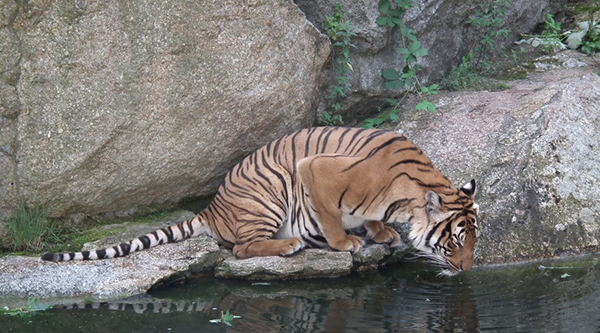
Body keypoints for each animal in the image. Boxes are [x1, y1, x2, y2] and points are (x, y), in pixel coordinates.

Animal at [42, 126, 478, 274]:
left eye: (475, 242)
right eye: (455, 242)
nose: (468, 270)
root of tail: (211, 207)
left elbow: (369, 217)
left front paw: (381, 231)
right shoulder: (314, 167)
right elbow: (331, 215)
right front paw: (346, 242)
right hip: (270, 193)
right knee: (240, 248)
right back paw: (289, 245)